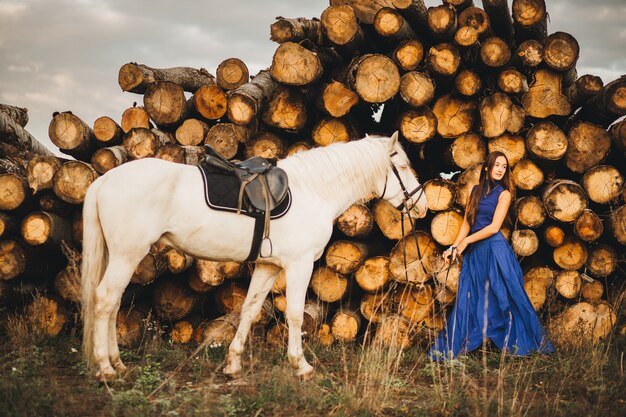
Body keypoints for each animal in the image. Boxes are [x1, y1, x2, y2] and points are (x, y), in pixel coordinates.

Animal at [80, 132, 426, 378]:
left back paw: (117, 363)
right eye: (403, 167)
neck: (313, 191)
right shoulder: (299, 265)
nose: (421, 206)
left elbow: (249, 309)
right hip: (127, 255)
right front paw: (301, 366)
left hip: (119, 256)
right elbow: (295, 314)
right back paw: (105, 368)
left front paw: (232, 365)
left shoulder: (268, 267)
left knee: (114, 304)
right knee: (105, 300)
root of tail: (104, 180)